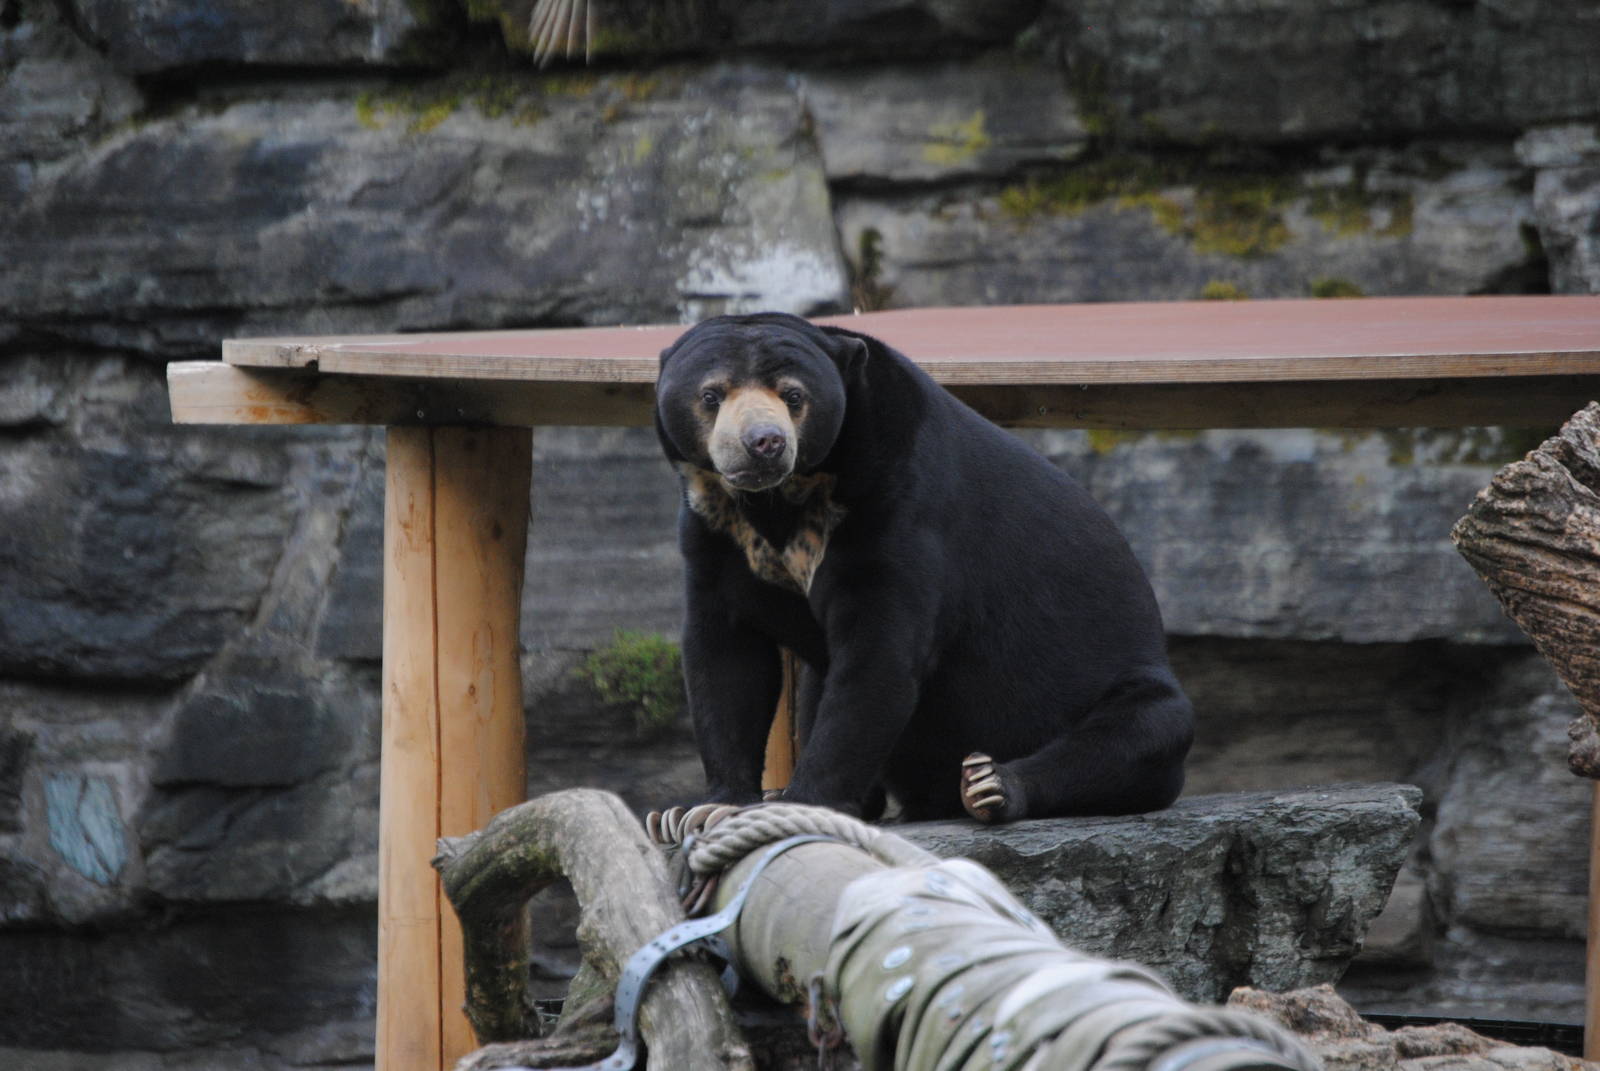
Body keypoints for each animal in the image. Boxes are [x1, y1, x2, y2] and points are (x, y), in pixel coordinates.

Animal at [654, 311, 1193, 823]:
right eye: (711, 394)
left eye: (793, 395)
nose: (763, 443)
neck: (779, 498)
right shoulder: (714, 532)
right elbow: (724, 657)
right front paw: (705, 809)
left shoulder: (896, 503)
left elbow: (879, 654)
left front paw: (801, 802)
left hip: (1123, 685)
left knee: (1142, 732)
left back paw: (990, 786)